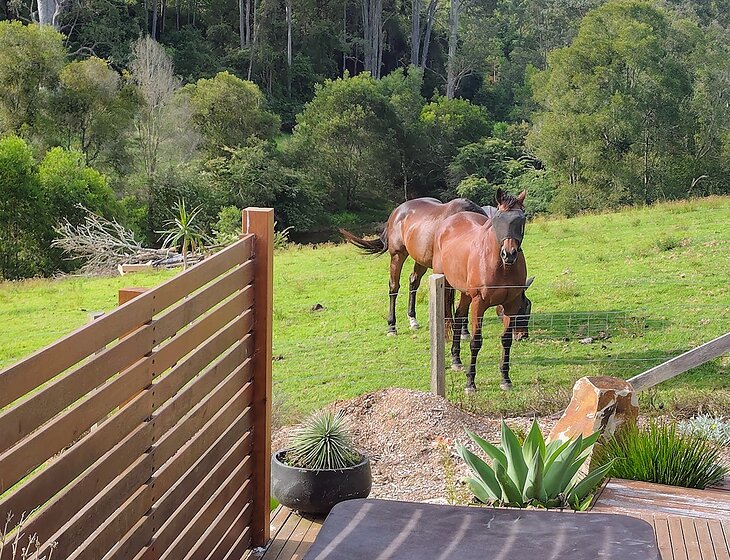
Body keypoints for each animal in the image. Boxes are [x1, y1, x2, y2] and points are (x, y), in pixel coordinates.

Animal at [340, 197, 488, 335]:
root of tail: (396, 211)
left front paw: (464, 330)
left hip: (420, 259)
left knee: (413, 281)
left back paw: (413, 320)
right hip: (397, 255)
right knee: (394, 286)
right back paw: (392, 326)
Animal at [433, 189, 528, 392]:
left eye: (521, 219)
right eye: (498, 219)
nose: (509, 254)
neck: (501, 266)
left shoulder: (511, 304)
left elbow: (506, 340)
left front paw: (505, 379)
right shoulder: (479, 303)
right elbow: (476, 342)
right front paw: (470, 383)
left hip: (465, 294)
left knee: (459, 316)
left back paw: (456, 359)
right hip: (447, 286)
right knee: (451, 318)